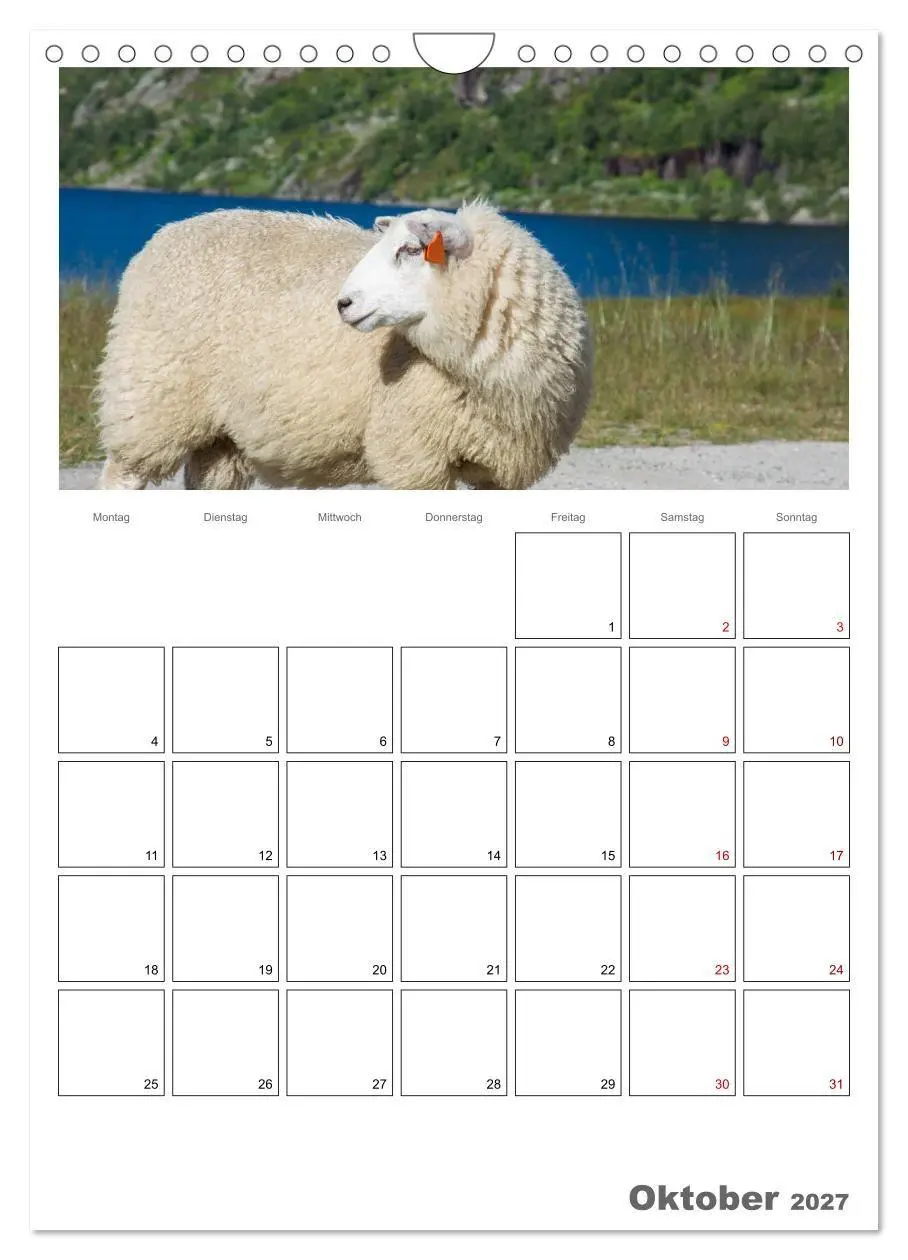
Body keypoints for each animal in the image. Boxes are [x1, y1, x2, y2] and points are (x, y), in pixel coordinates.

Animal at [97, 202, 593, 490]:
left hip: (220, 435)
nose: (343, 303)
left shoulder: (498, 469)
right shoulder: (413, 456)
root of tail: (162, 235)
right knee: (122, 476)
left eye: (411, 249)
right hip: (149, 400)